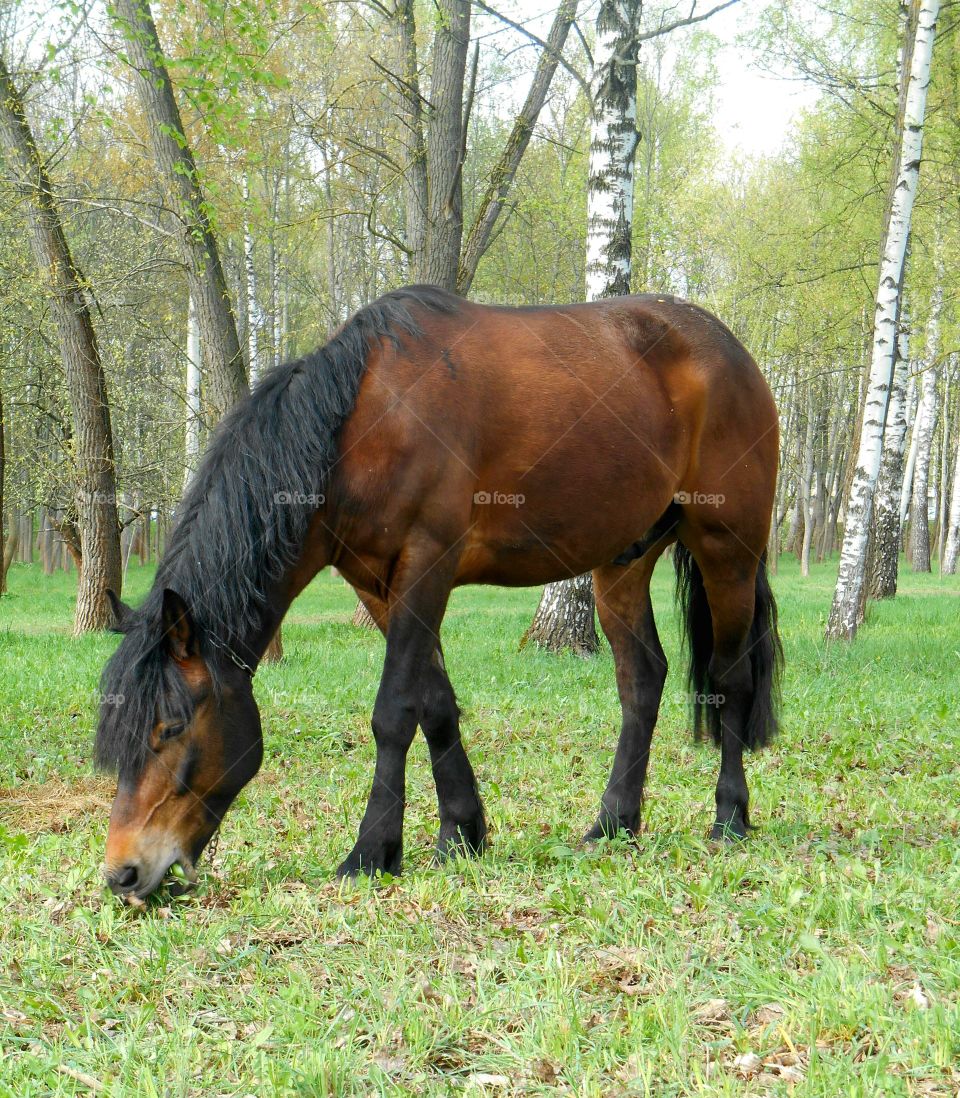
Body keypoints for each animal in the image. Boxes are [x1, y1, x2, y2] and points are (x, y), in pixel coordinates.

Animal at [97, 283, 782, 900]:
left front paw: (372, 850)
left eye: (169, 729)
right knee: (642, 680)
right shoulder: (378, 584)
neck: (363, 424)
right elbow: (436, 704)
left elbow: (394, 711)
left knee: (731, 678)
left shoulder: (427, 566)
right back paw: (614, 823)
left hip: (727, 550)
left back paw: (729, 817)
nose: (123, 874)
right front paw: (461, 833)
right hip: (622, 565)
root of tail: (734, 352)